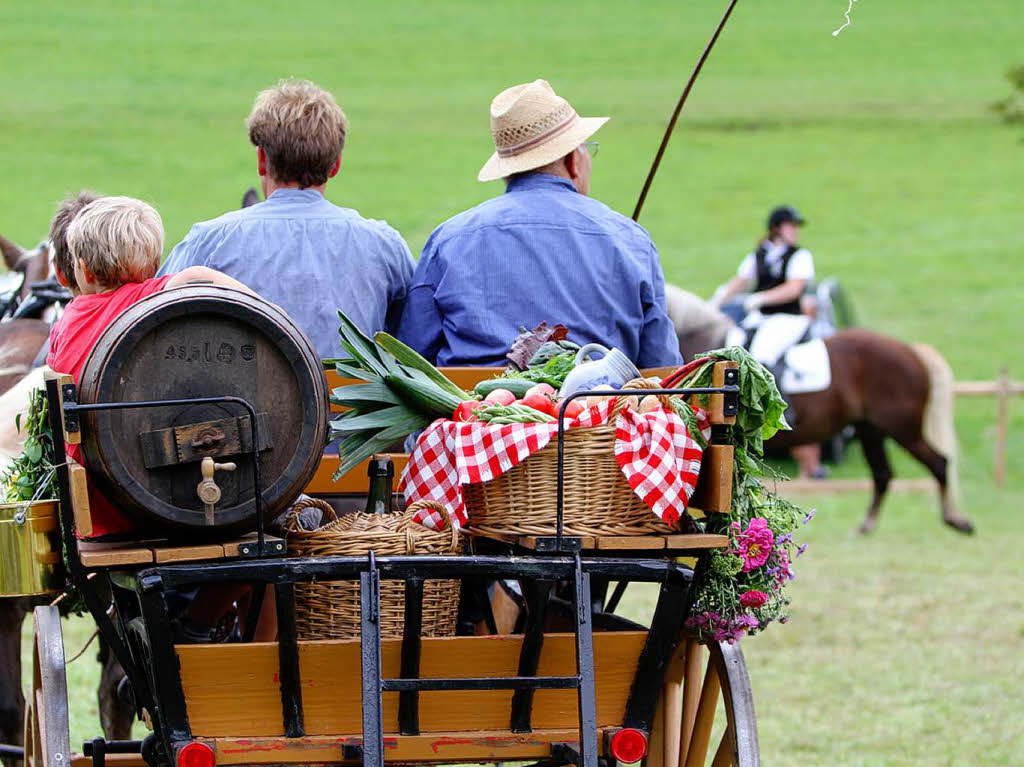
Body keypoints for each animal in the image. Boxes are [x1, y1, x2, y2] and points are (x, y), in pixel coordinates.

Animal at [667, 286, 970, 532]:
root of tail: (911, 351)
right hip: (870, 430)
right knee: (884, 474)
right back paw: (867, 525)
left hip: (902, 429)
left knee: (938, 464)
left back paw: (955, 521)